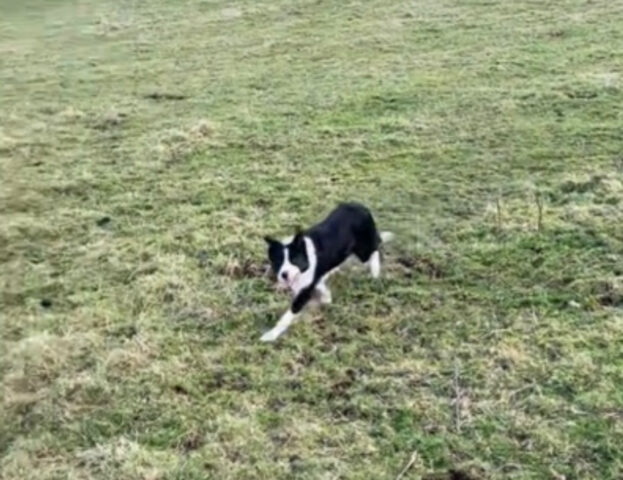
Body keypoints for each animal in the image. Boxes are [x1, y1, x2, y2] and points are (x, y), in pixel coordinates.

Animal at [260, 202, 392, 342]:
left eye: (294, 260)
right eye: (278, 262)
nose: (284, 275)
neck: (306, 258)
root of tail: (361, 207)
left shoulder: (303, 293)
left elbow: (288, 315)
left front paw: (271, 334)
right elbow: (322, 289)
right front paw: (327, 298)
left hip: (363, 250)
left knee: (375, 249)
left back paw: (375, 272)